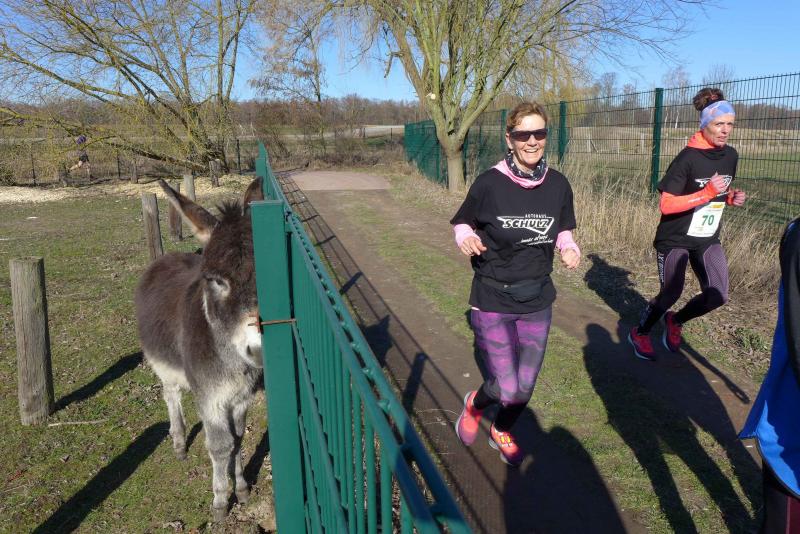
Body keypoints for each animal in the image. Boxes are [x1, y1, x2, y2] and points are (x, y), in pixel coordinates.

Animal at [134, 178, 265, 520]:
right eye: (217, 281)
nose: (259, 349)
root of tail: (168, 256)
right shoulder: (210, 398)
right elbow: (219, 446)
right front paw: (220, 501)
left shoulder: (241, 398)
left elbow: (237, 439)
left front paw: (242, 489)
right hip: (162, 363)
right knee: (171, 394)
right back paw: (179, 441)